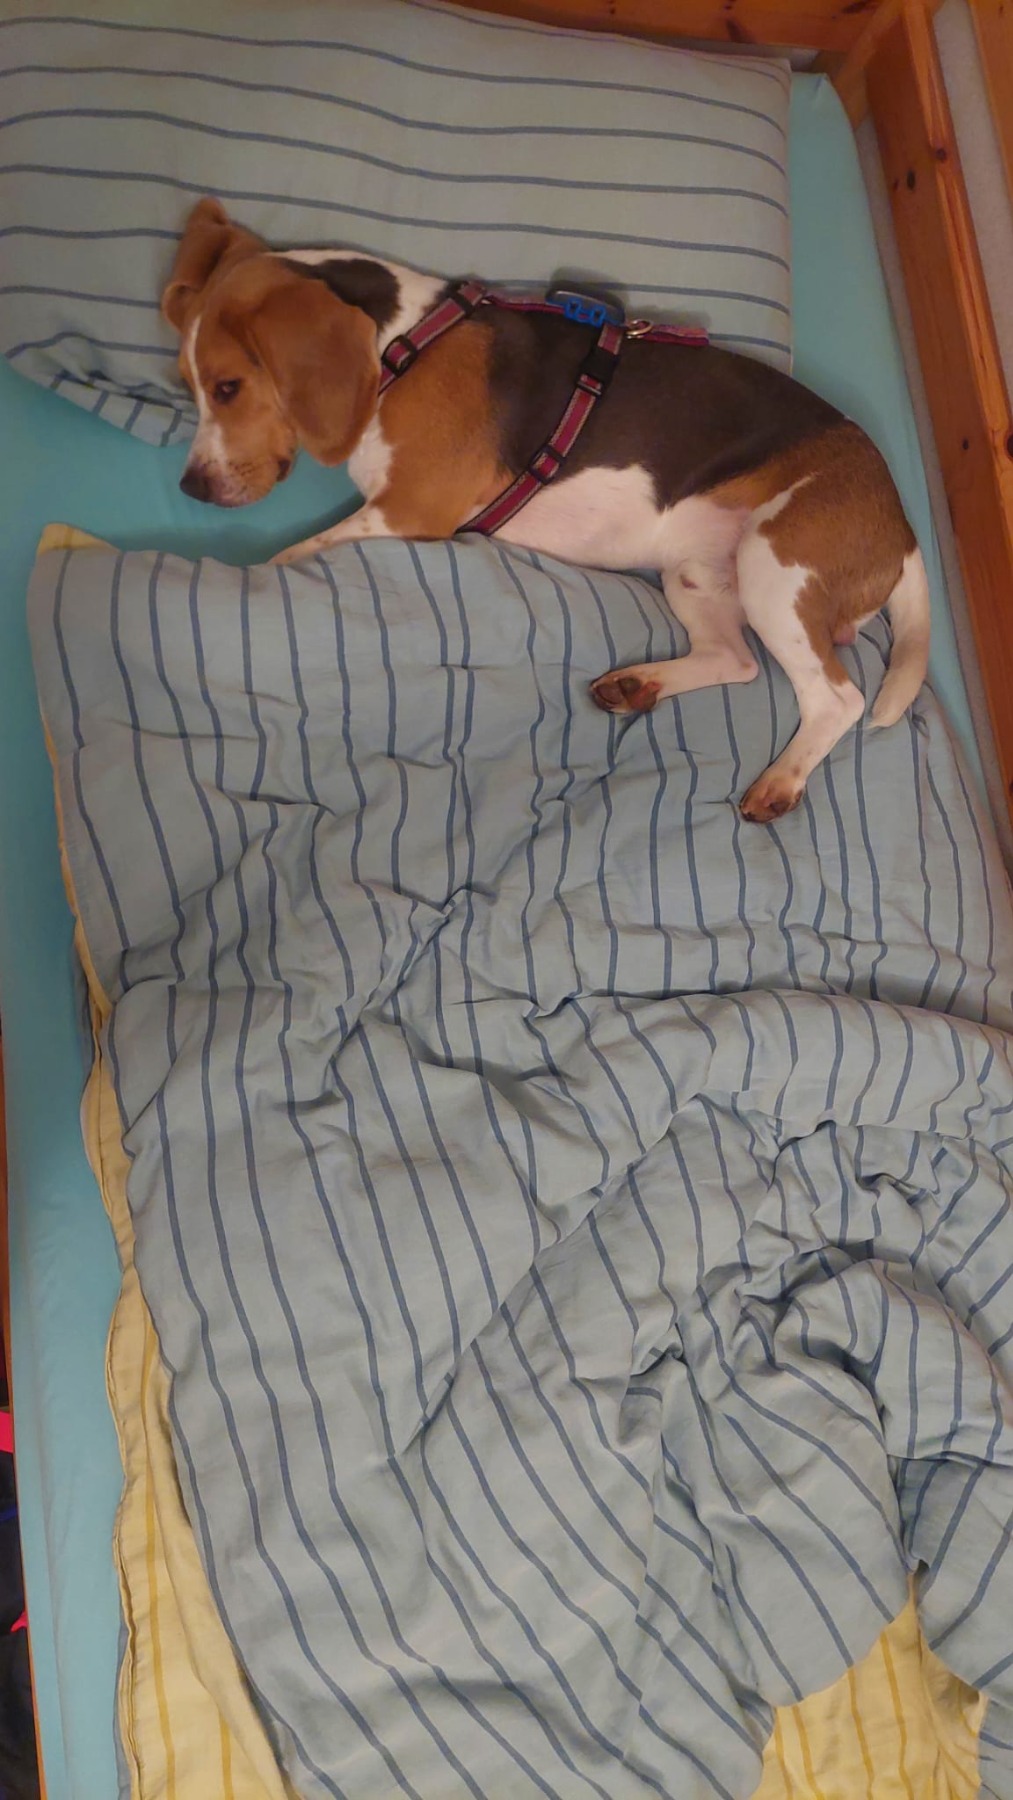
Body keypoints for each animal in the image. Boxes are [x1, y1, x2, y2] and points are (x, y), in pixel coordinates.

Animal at [161, 197, 929, 823]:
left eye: (228, 387)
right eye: (186, 385)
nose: (191, 489)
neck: (403, 345)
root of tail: (901, 528)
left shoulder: (410, 509)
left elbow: (294, 551)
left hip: (775, 564)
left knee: (836, 698)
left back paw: (781, 780)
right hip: (696, 572)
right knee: (734, 660)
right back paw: (639, 684)